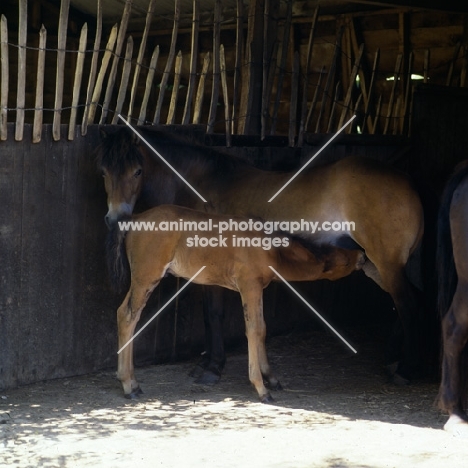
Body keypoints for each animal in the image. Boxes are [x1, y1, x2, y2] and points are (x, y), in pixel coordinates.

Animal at [107, 205, 366, 402]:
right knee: (128, 316)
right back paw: (129, 385)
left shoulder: (258, 289)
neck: (271, 249)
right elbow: (255, 330)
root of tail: (135, 219)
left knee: (123, 313)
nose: (363, 255)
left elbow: (262, 329)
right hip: (146, 276)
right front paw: (261, 388)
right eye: (343, 260)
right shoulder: (249, 286)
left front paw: (271, 378)